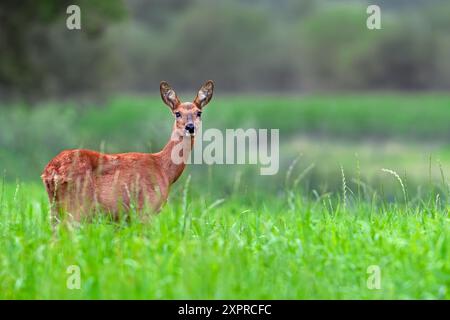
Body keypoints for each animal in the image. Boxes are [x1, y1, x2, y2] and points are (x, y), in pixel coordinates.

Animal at [40, 80, 214, 222]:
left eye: (199, 112)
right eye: (177, 113)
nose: (190, 127)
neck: (164, 169)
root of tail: (51, 171)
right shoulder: (145, 210)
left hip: (56, 207)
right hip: (77, 205)